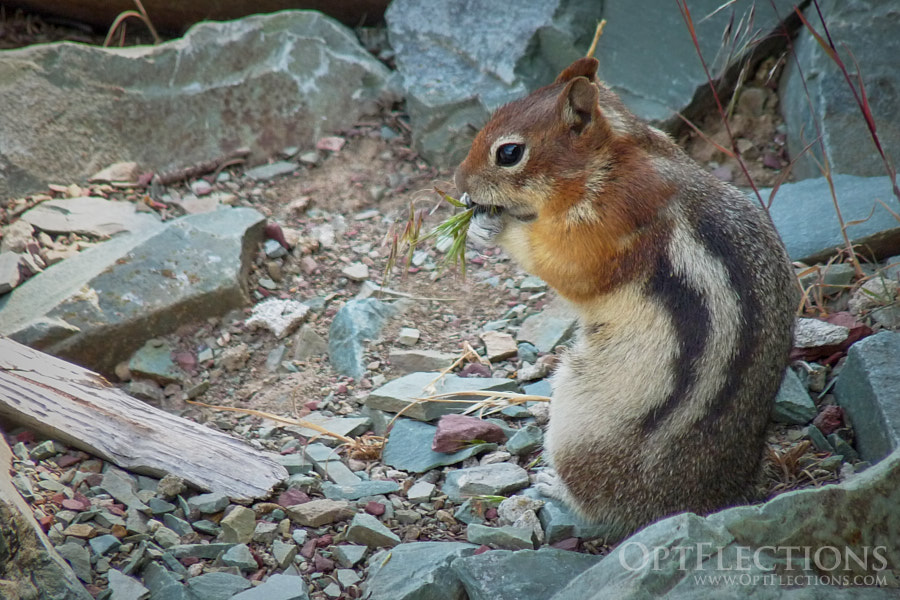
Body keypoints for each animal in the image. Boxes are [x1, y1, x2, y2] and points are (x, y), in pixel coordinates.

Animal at [455, 57, 798, 539]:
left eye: (508, 153)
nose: (460, 183)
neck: (609, 162)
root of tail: (710, 502)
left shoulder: (605, 223)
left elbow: (565, 264)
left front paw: (492, 226)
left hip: (577, 426)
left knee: (599, 503)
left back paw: (554, 486)